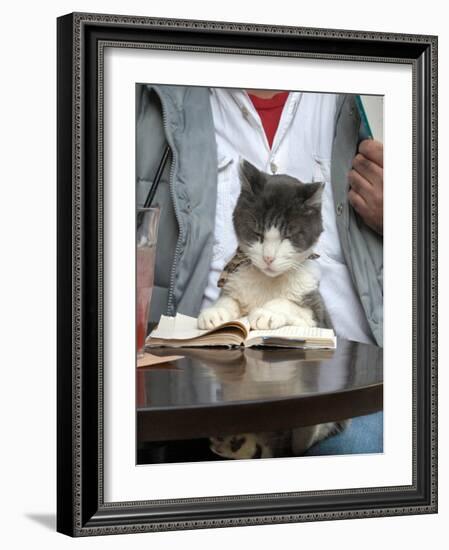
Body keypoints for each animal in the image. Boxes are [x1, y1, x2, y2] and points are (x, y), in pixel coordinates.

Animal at [197, 161, 346, 462]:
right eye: (257, 233)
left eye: (289, 235)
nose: (267, 258)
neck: (267, 283)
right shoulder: (236, 281)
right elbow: (230, 300)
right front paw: (215, 314)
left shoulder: (318, 312)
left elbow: (291, 305)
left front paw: (265, 313)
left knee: (303, 440)